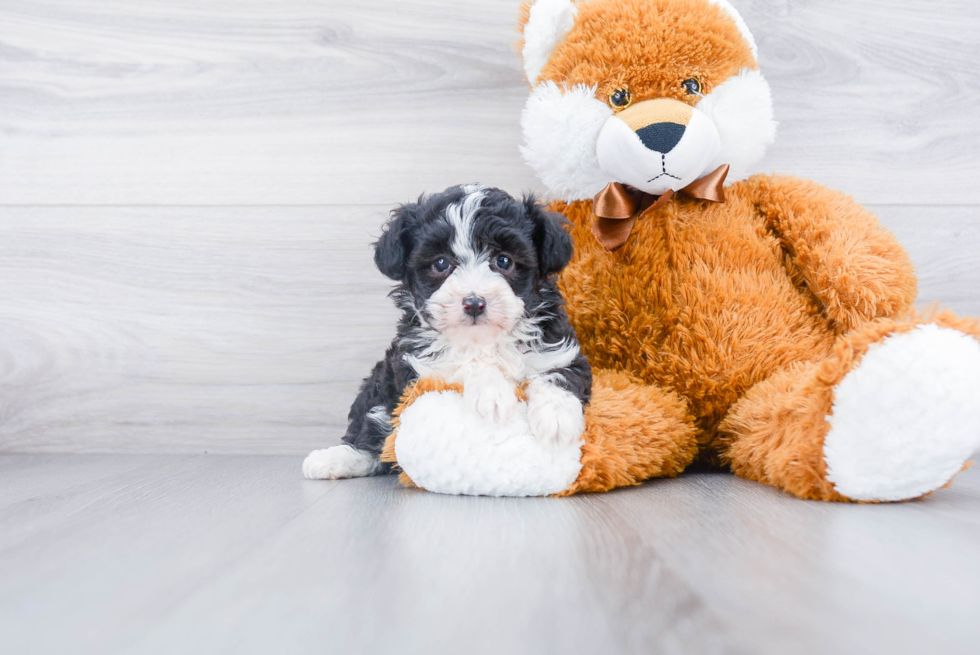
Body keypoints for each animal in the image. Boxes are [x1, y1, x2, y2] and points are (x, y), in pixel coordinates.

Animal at [302, 184, 588, 482]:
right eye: (441, 264)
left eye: (503, 260)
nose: (474, 303)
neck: (484, 340)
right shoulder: (418, 366)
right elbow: (461, 363)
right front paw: (492, 393)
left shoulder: (559, 350)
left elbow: (558, 374)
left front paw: (557, 418)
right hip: (381, 384)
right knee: (374, 428)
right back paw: (334, 459)